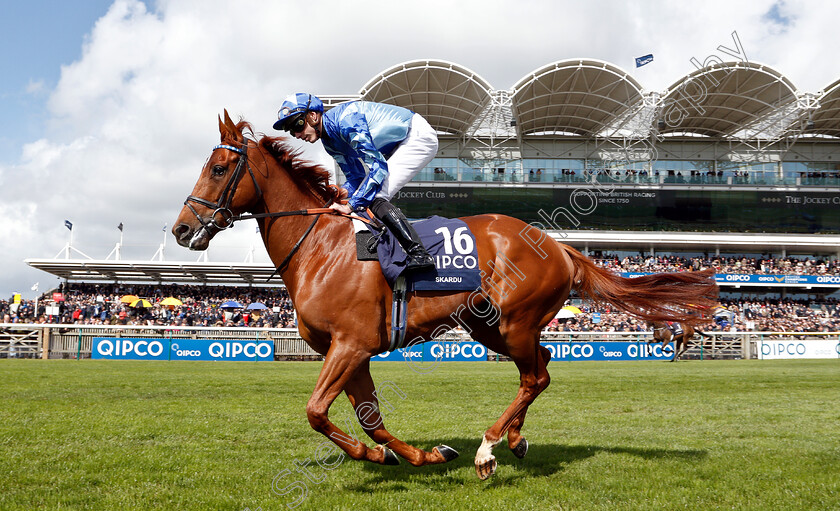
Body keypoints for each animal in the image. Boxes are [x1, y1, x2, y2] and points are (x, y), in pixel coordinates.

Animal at [174, 111, 720, 480]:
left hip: (513, 322)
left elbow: (316, 411)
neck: (321, 248)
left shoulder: (350, 345)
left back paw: (488, 448)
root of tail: (560, 246)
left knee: (536, 375)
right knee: (541, 366)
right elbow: (369, 421)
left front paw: (405, 454)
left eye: (219, 169)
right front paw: (414, 454)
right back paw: (515, 440)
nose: (182, 229)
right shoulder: (350, 351)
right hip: (490, 326)